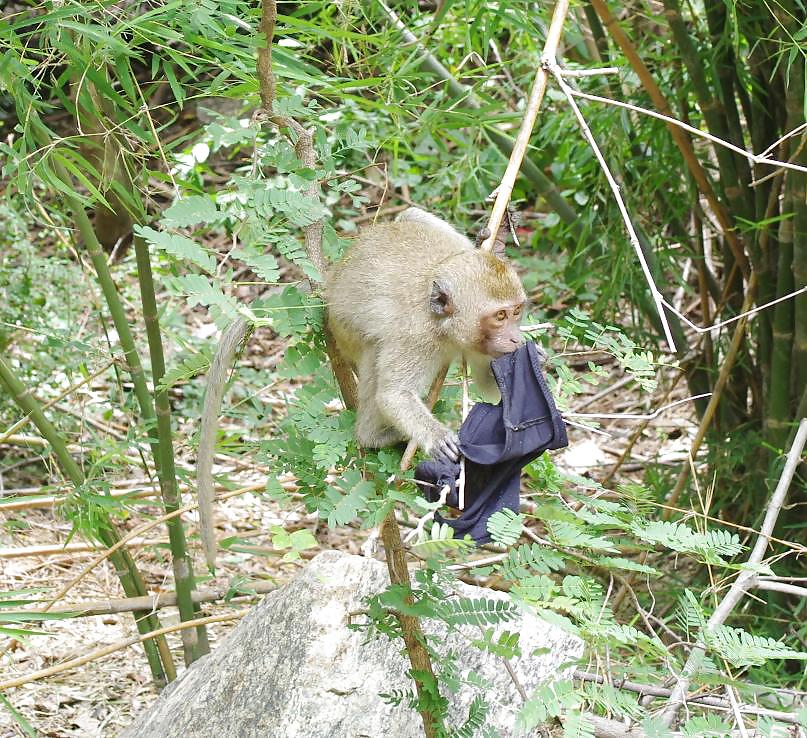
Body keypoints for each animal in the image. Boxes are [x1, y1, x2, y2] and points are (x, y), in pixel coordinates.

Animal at [326, 207, 528, 460]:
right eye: (500, 316)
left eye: (516, 311)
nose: (516, 338)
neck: (443, 325)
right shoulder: (415, 339)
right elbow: (394, 394)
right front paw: (437, 437)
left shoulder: (479, 343)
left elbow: (488, 387)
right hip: (345, 335)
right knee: (374, 353)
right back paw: (372, 436)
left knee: (412, 214)